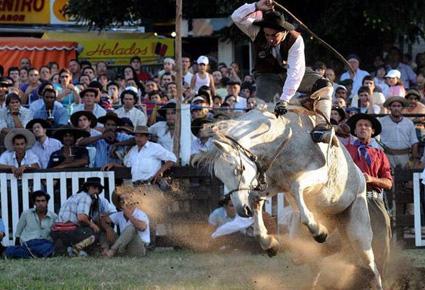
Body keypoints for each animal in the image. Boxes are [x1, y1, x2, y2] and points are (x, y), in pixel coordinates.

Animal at [194, 107, 382, 288]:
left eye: (239, 169)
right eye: (219, 176)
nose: (242, 210)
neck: (283, 142)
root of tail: (360, 177)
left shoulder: (319, 175)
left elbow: (297, 186)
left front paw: (318, 230)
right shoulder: (272, 184)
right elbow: (257, 200)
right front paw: (269, 243)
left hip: (359, 232)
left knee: (372, 267)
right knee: (317, 260)